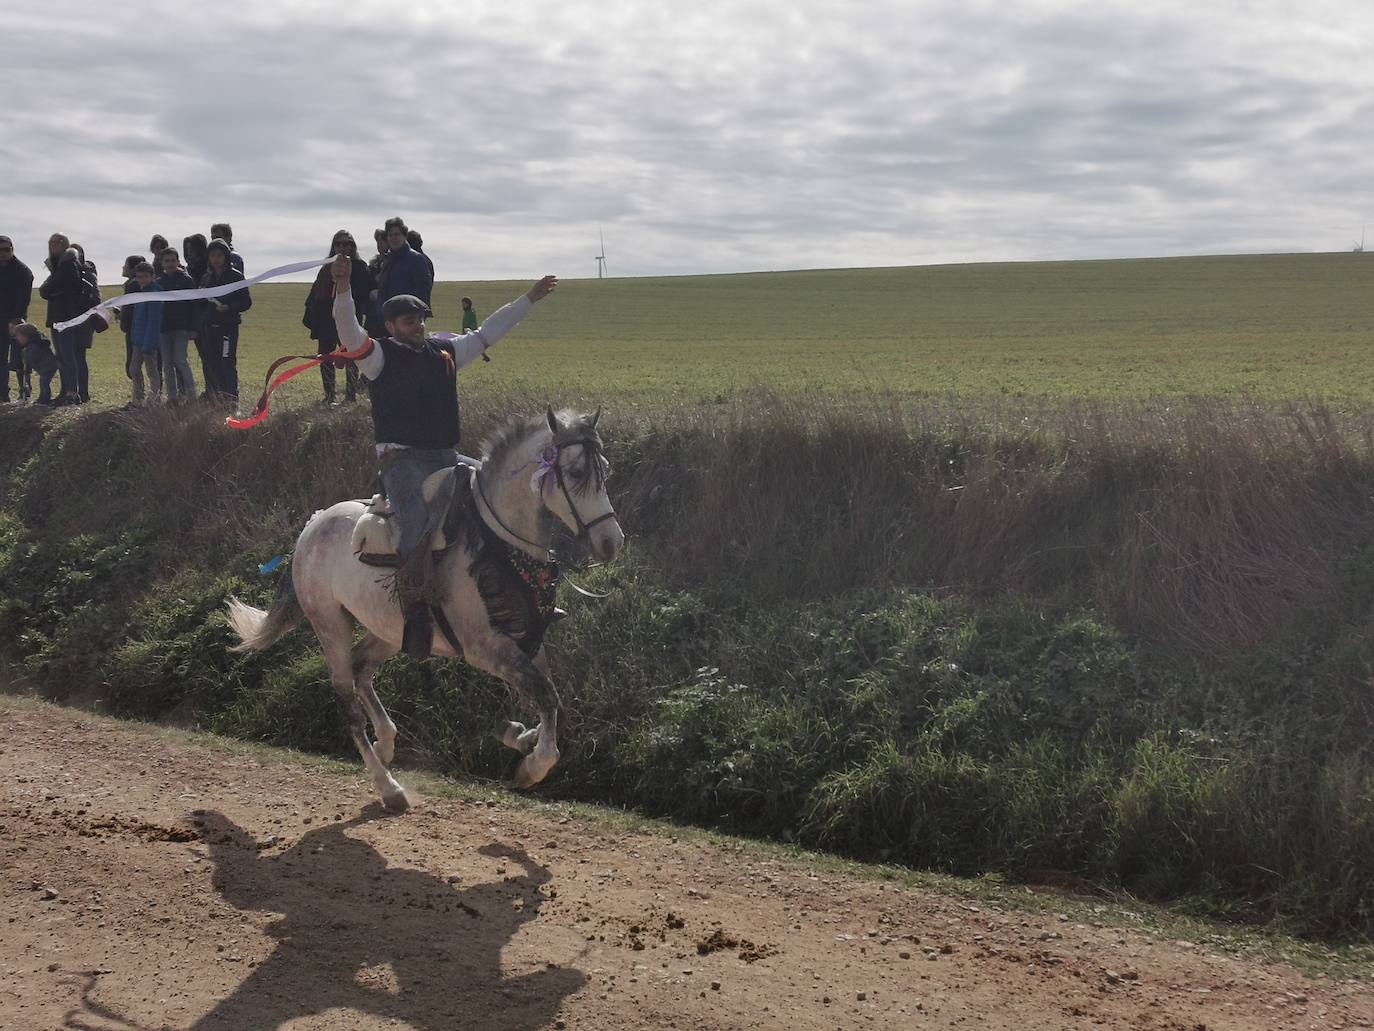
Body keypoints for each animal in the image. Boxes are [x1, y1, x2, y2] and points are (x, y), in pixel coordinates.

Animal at [228, 406, 626, 813]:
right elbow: (547, 696)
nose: (612, 542)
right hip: (331, 626)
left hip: (389, 630)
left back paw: (386, 741)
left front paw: (519, 735)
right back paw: (388, 786)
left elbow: (549, 699)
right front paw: (532, 765)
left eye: (606, 470)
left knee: (361, 668)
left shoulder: (528, 639)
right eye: (575, 473)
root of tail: (312, 525)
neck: (498, 543)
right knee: (348, 704)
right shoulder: (487, 649)